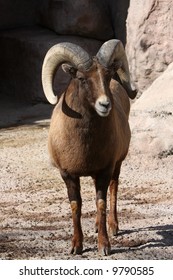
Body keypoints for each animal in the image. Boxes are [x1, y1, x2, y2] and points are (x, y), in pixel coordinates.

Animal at [42, 40, 137, 256]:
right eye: (81, 78)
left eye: (107, 75)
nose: (104, 105)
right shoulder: (68, 175)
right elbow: (76, 205)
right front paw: (76, 246)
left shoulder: (105, 170)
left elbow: (101, 203)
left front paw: (104, 246)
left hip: (117, 166)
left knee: (114, 188)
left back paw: (113, 227)